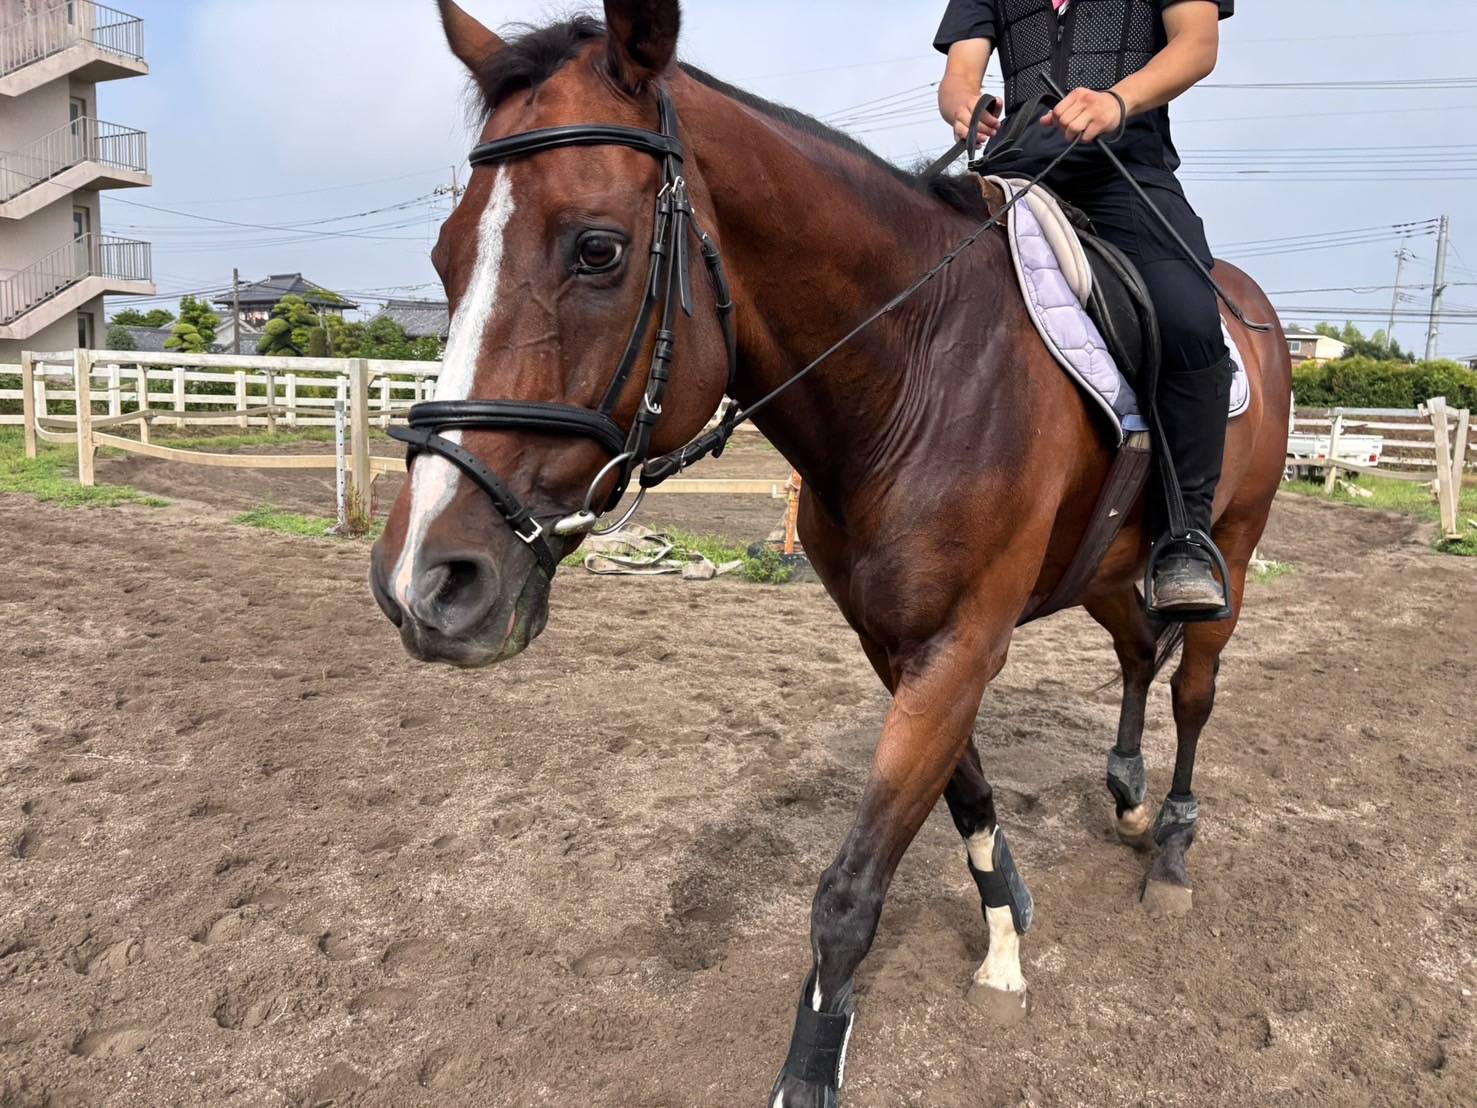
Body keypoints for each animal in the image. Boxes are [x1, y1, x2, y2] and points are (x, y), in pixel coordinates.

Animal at [368, 2, 1292, 1103]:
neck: (917, 366)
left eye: (596, 249)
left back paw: (1173, 850)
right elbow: (969, 799)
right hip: (1111, 567)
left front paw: (812, 1064)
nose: (425, 582)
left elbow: (849, 891)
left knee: (1192, 685)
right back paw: (1122, 789)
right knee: (1135, 653)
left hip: (1230, 550)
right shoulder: (898, 645)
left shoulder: (959, 647)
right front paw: (1006, 932)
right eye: (443, 257)